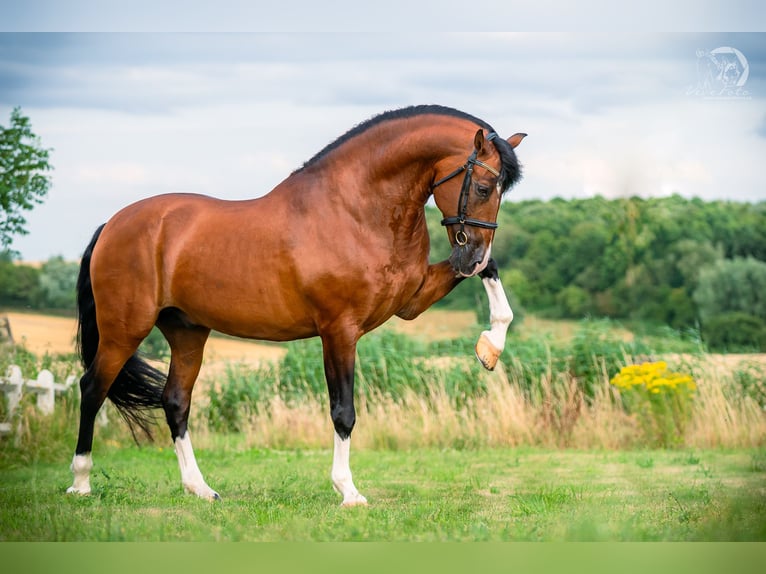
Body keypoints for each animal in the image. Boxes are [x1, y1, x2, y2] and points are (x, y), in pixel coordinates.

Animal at [67, 104, 525, 506]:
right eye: (483, 187)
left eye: (501, 190)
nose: (472, 254)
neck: (355, 210)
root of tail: (112, 224)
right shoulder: (339, 330)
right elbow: (343, 412)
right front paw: (348, 491)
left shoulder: (412, 298)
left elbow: (492, 278)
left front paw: (490, 347)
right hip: (124, 328)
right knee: (92, 388)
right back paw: (81, 483)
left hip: (186, 332)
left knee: (175, 402)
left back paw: (200, 489)